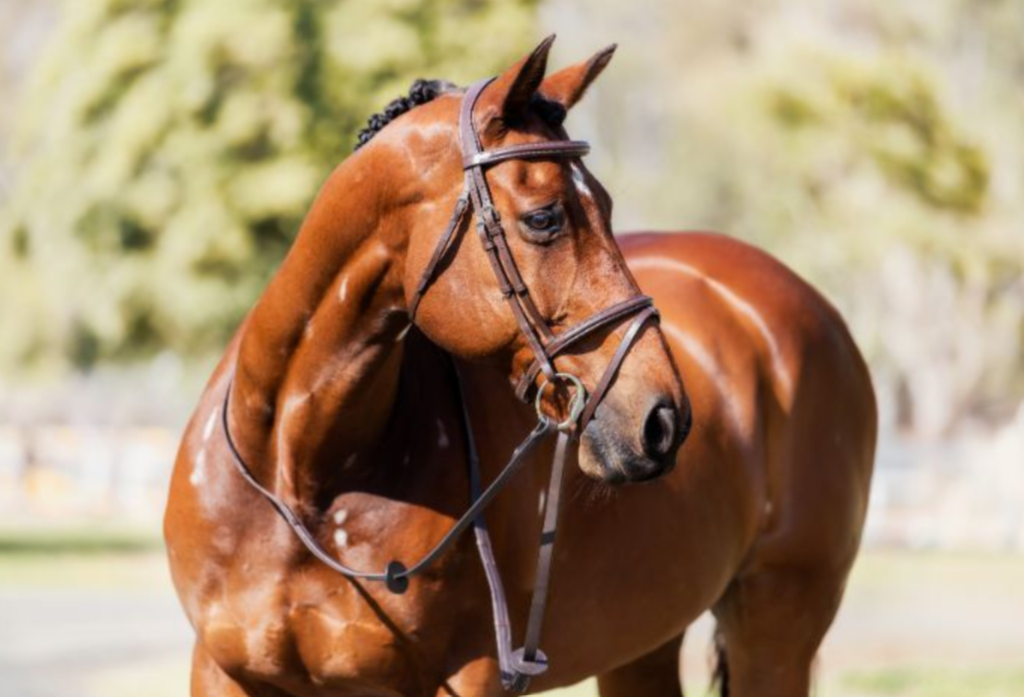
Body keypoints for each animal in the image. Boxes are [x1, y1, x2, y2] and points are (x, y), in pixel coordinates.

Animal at [163, 36, 876, 695]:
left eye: (607, 207)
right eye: (544, 217)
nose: (664, 420)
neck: (299, 480)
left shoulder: (469, 676)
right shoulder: (221, 673)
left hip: (779, 621)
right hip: (645, 643)